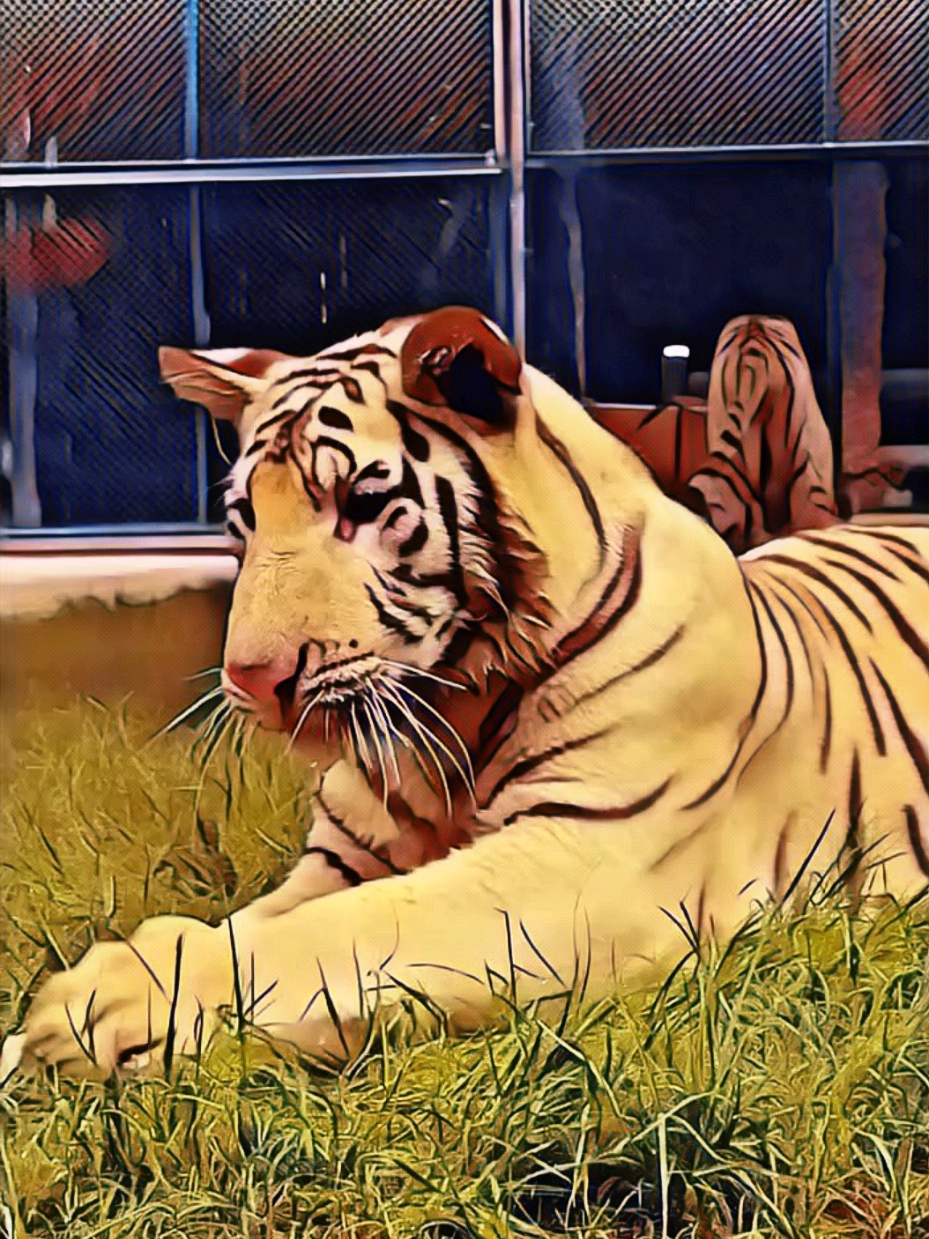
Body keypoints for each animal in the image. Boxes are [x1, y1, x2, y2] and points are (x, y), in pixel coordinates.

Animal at [3, 305, 927, 1080]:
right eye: (245, 520)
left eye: (361, 504)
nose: (252, 679)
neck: (449, 709)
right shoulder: (343, 856)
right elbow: (267, 921)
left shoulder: (594, 856)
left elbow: (349, 928)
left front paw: (98, 1007)